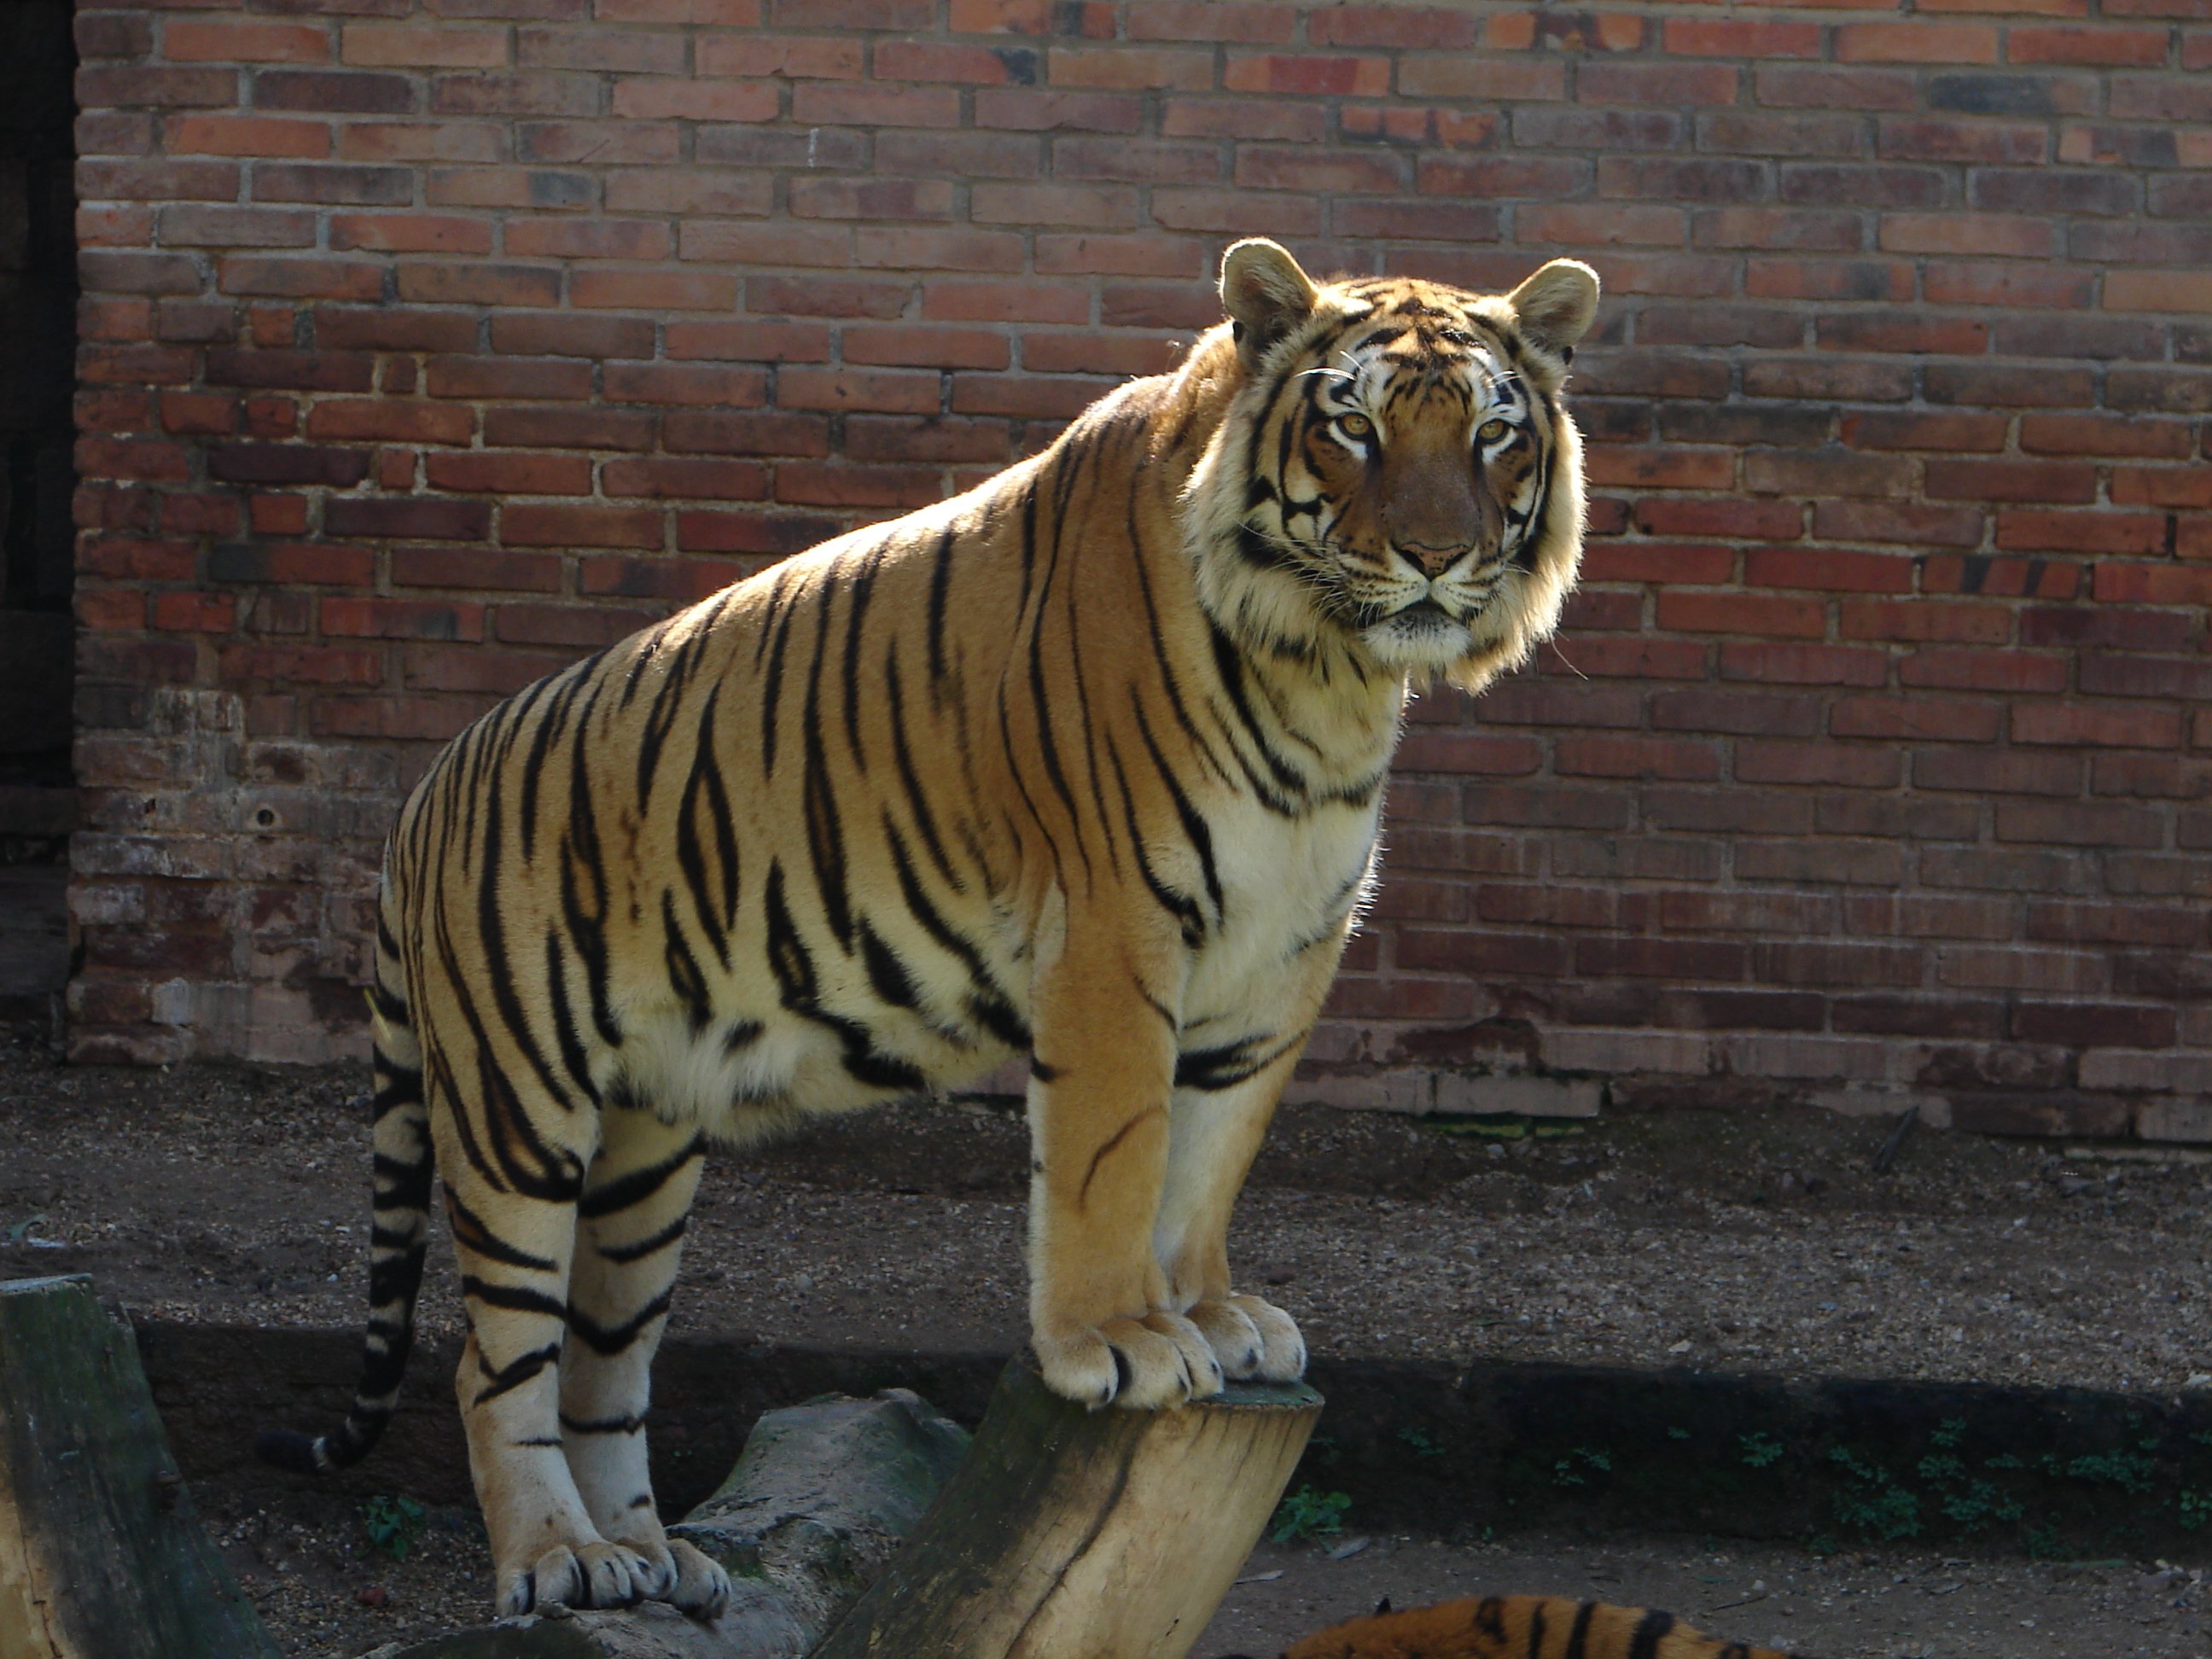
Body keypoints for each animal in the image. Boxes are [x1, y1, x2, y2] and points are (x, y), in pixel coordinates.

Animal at [259, 247, 1601, 1627]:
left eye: (1493, 435)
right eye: (1355, 427)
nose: (1436, 557)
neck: (1328, 675)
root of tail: (418, 801)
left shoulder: (1281, 958)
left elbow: (1208, 1159)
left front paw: (1215, 1317)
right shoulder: (1114, 927)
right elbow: (1115, 1156)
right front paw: (1119, 1342)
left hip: (642, 1159)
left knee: (602, 1369)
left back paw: (650, 1561)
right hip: (517, 1111)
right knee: (492, 1363)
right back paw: (557, 1561)